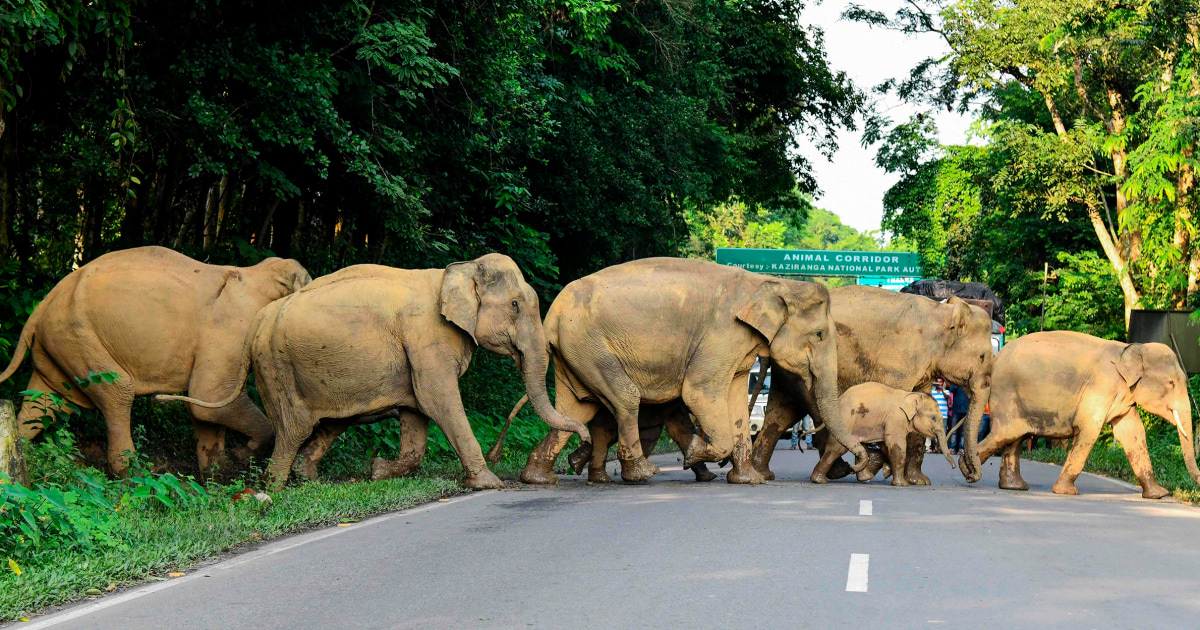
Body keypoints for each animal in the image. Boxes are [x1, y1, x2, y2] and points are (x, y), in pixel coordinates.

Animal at [159, 253, 590, 489]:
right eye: (516, 305)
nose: (583, 448)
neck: (456, 270)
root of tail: (259, 321)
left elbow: (417, 413)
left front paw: (379, 470)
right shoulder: (427, 338)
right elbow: (438, 399)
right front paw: (489, 484)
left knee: (330, 422)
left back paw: (308, 479)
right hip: (276, 365)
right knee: (294, 427)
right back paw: (275, 487)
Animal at [516, 258, 864, 484]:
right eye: (820, 334)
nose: (859, 463)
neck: (769, 282)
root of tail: (552, 313)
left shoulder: (738, 345)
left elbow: (735, 399)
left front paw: (747, 480)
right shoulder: (722, 334)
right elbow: (700, 393)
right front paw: (695, 453)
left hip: (574, 351)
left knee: (575, 408)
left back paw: (539, 478)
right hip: (589, 344)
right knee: (623, 398)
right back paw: (642, 473)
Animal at [806, 381, 955, 484]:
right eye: (933, 418)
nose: (953, 467)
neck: (910, 395)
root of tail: (838, 400)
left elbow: (886, 445)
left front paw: (887, 471)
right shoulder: (896, 418)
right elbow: (897, 445)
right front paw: (902, 484)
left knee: (860, 445)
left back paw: (865, 477)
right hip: (846, 420)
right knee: (837, 448)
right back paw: (818, 480)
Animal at [974, 328, 1200, 496]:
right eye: (1171, 383)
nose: (1196, 484)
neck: (1131, 349)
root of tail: (995, 359)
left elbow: (1133, 433)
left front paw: (1158, 494)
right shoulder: (1100, 386)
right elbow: (1089, 430)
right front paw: (1066, 492)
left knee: (1014, 437)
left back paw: (1014, 487)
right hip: (1005, 393)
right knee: (1005, 433)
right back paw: (971, 472)